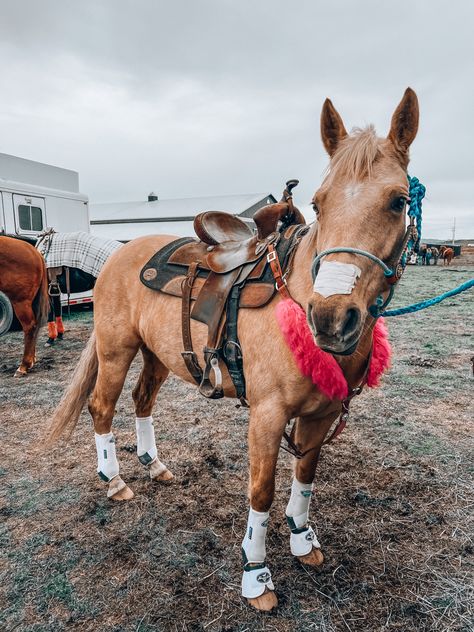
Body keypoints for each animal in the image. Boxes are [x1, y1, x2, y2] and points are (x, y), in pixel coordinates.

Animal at [47, 86, 418, 608]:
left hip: (159, 355)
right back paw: (115, 480)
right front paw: (256, 575)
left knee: (142, 401)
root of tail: (118, 252)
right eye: (319, 203)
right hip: (116, 349)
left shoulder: (321, 414)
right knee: (101, 406)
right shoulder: (267, 415)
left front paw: (303, 540)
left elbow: (305, 476)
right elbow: (261, 491)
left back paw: (154, 465)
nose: (330, 318)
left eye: (398, 201)